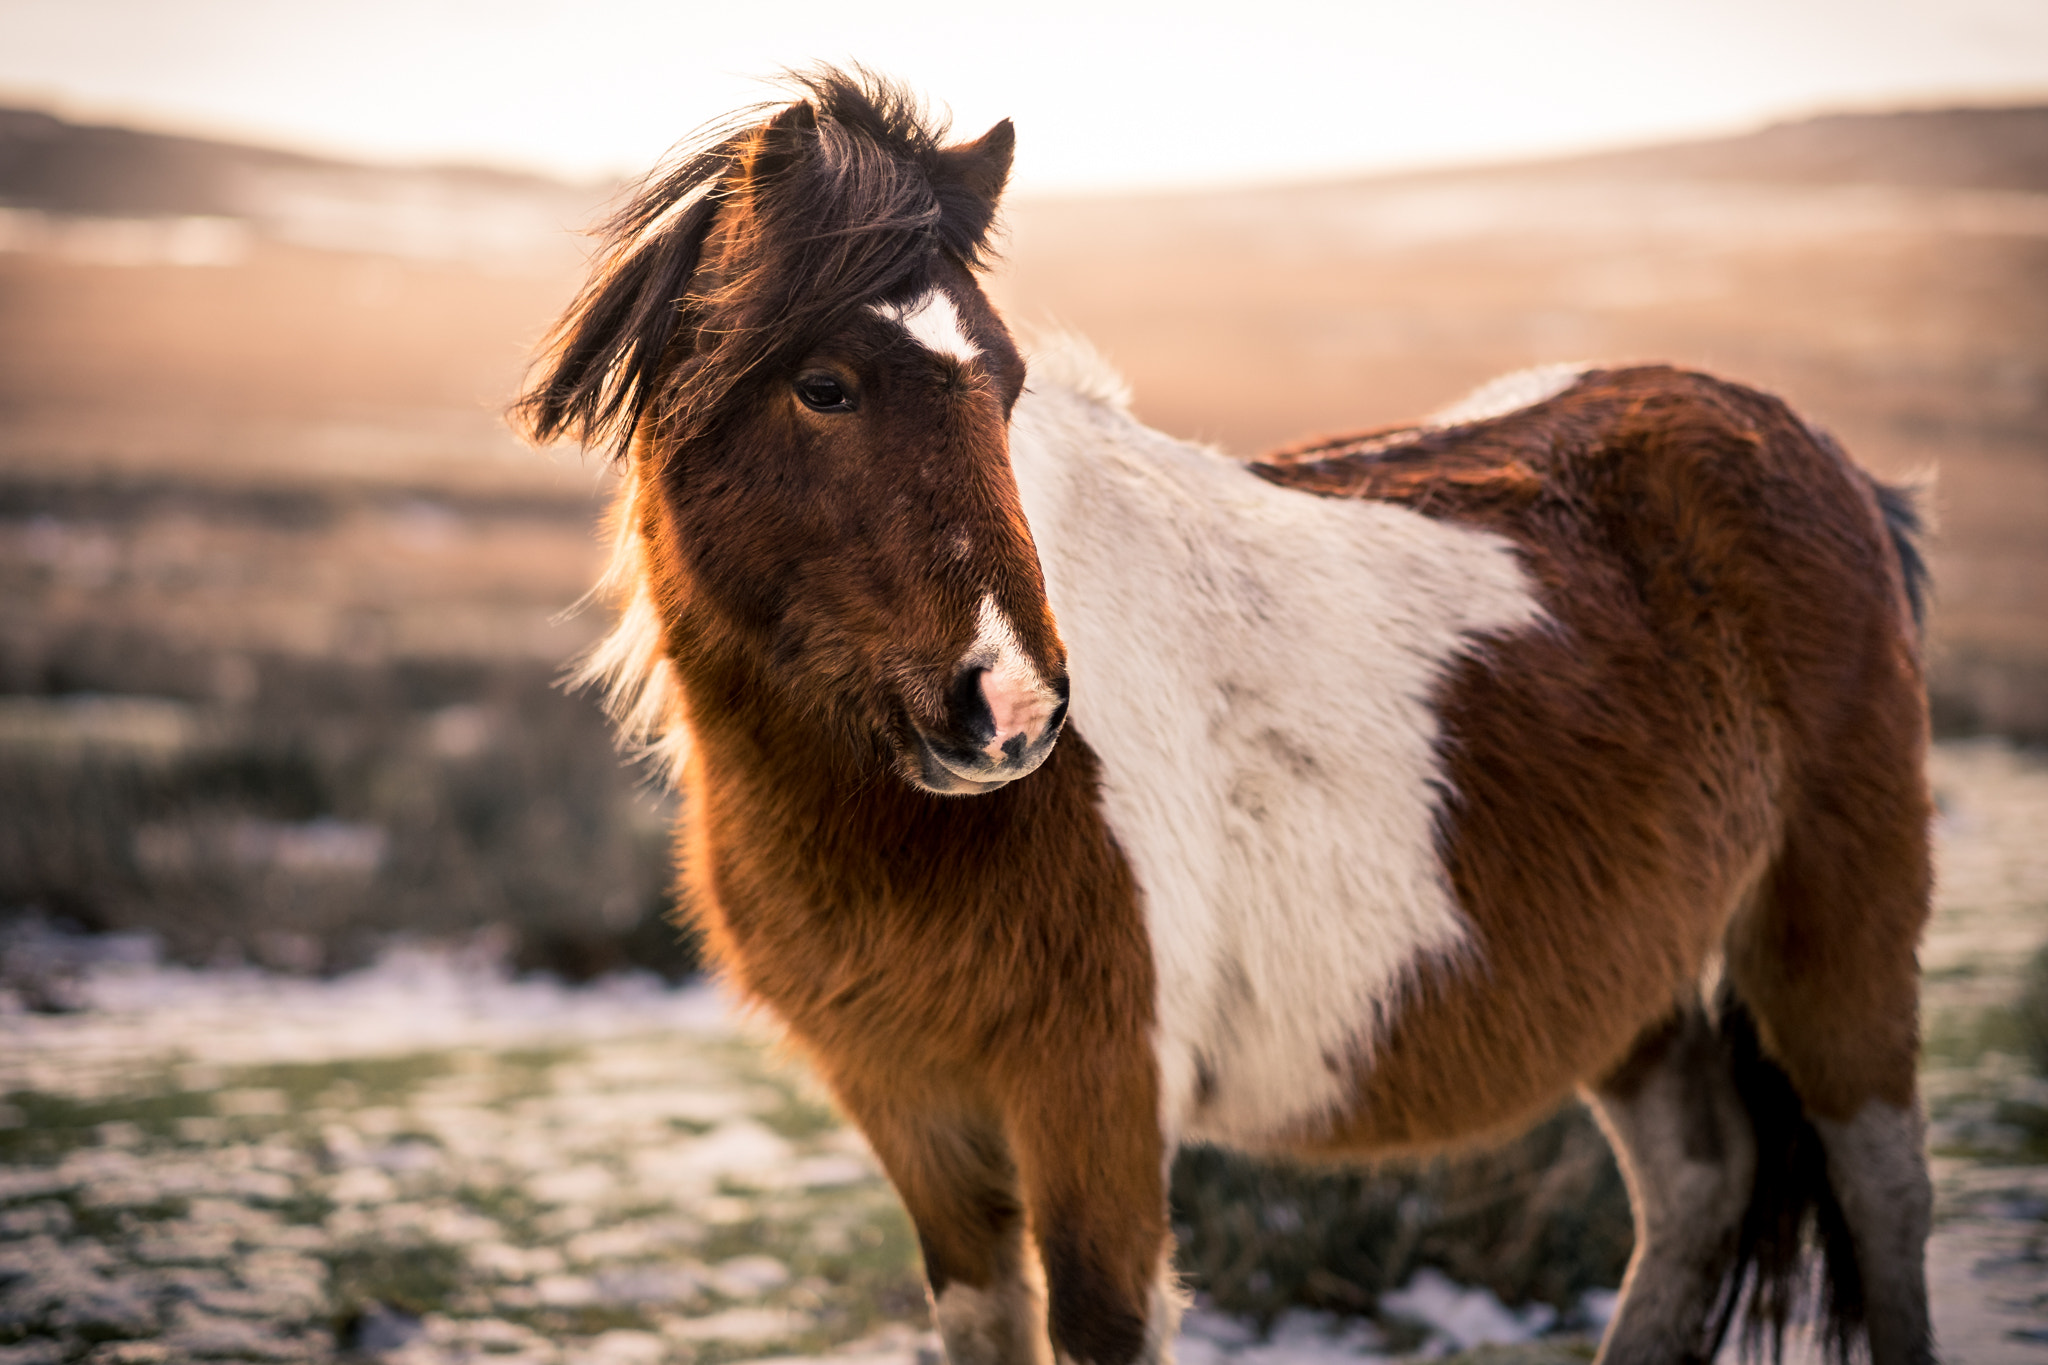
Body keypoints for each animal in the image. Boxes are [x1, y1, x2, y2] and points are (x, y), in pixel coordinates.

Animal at [513, 69, 1935, 1365]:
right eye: (824, 386)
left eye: (1006, 387)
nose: (1012, 708)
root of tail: (1817, 455)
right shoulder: (912, 1111)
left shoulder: (1095, 1096)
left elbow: (1101, 1323)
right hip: (1630, 979)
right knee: (1697, 1182)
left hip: (1833, 927)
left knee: (1881, 1190)